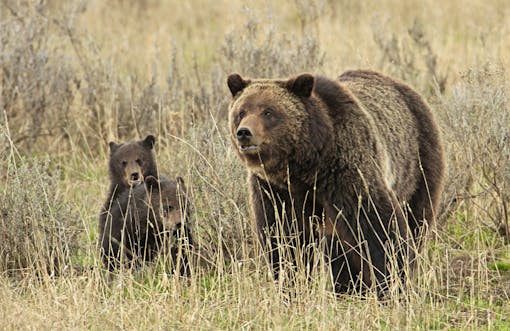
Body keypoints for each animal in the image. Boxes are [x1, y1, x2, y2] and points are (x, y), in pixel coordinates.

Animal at [229, 69, 444, 294]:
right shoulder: (275, 190)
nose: (244, 132)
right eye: (241, 112)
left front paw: (393, 283)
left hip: (418, 164)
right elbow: (283, 238)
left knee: (417, 219)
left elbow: (379, 226)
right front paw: (290, 284)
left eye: (268, 112)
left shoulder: (346, 171)